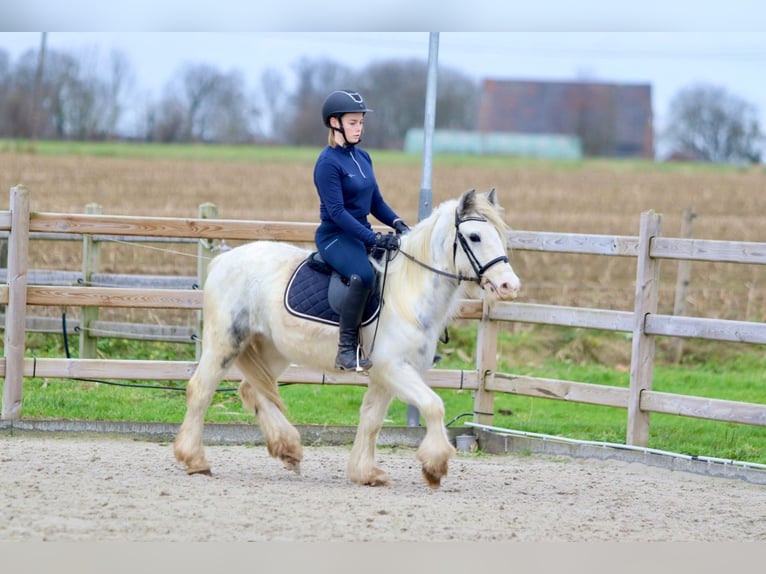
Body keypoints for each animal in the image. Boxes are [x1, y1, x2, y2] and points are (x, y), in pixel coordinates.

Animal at [174, 189, 520, 490]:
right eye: (474, 237)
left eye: (499, 234)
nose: (509, 285)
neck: (408, 293)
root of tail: (223, 261)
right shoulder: (394, 369)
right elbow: (433, 406)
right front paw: (434, 467)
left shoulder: (384, 375)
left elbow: (372, 420)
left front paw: (365, 473)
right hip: (225, 342)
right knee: (201, 390)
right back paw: (195, 460)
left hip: (274, 349)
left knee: (251, 390)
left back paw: (288, 449)